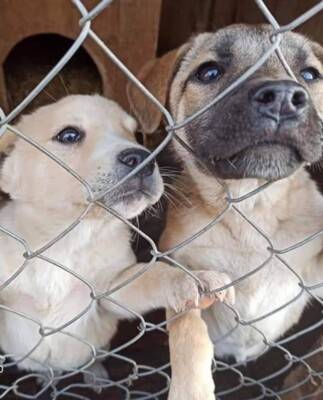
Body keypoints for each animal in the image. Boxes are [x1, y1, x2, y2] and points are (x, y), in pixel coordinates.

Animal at [0, 94, 235, 394]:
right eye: (69, 135)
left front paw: (194, 278)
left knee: (92, 358)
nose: (143, 159)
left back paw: (95, 374)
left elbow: (154, 275)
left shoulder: (109, 292)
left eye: (136, 135)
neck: (67, 240)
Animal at [129, 23, 323, 398]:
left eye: (310, 75)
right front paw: (191, 388)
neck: (250, 207)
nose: (282, 97)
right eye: (209, 72)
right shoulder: (183, 270)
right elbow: (188, 331)